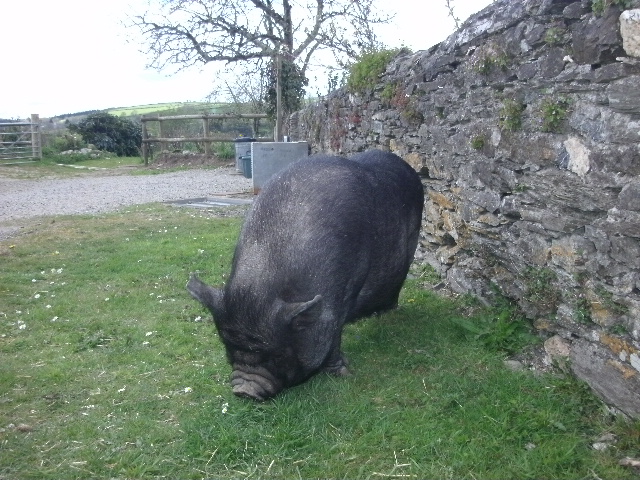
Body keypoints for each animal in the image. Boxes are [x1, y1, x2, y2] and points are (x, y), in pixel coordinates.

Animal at [187, 149, 424, 400]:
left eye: (278, 354)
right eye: (227, 347)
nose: (245, 390)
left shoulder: (340, 299)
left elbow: (333, 337)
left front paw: (344, 375)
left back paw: (384, 313)